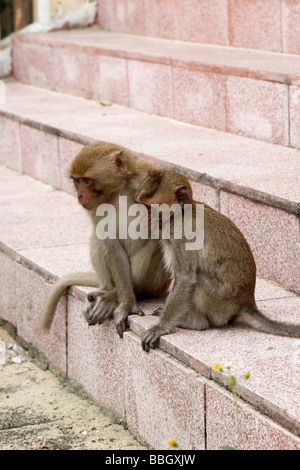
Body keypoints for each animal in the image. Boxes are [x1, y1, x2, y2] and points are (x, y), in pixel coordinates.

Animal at [37, 141, 172, 336]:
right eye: (76, 181)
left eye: (86, 180)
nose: (79, 195)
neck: (118, 193)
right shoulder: (95, 208)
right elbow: (112, 246)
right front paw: (126, 303)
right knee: (97, 238)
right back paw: (111, 292)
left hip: (158, 284)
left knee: (156, 242)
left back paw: (125, 294)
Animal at [135, 168, 300, 348]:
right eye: (141, 205)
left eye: (149, 208)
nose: (140, 218)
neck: (180, 214)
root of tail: (247, 302)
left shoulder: (181, 235)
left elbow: (186, 279)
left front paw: (161, 327)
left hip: (220, 302)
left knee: (197, 280)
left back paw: (194, 323)